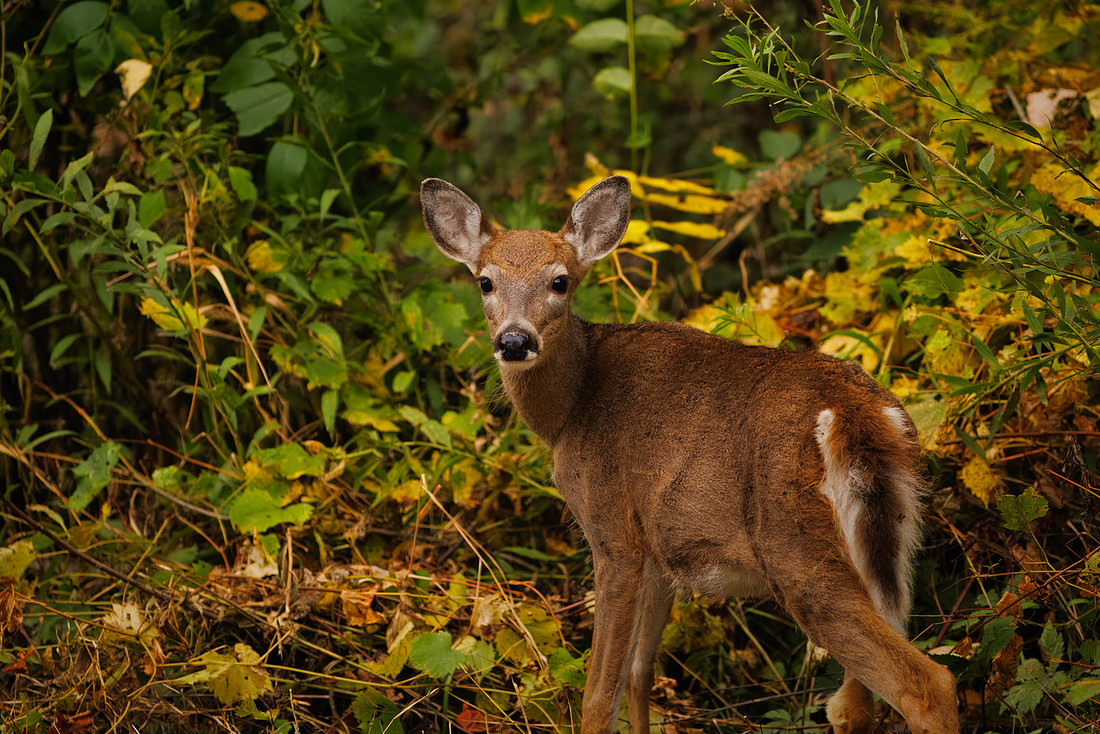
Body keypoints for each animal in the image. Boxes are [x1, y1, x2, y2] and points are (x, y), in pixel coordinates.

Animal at [420, 174, 960, 734]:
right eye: (485, 282)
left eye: (560, 281)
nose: (514, 341)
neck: (570, 410)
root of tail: (857, 412)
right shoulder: (659, 551)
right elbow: (641, 672)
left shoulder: (614, 532)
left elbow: (600, 696)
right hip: (890, 540)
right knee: (857, 702)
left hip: (795, 547)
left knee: (926, 684)